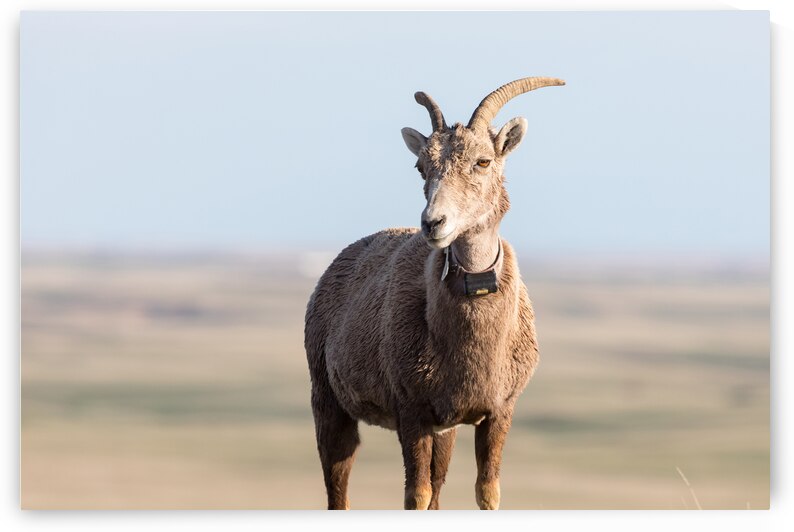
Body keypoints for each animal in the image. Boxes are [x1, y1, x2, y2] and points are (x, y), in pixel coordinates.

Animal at [304, 77, 565, 510]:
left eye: (483, 161)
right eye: (421, 166)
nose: (433, 223)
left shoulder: (497, 412)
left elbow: (485, 492)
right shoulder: (412, 412)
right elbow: (417, 494)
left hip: (446, 429)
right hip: (328, 402)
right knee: (337, 485)